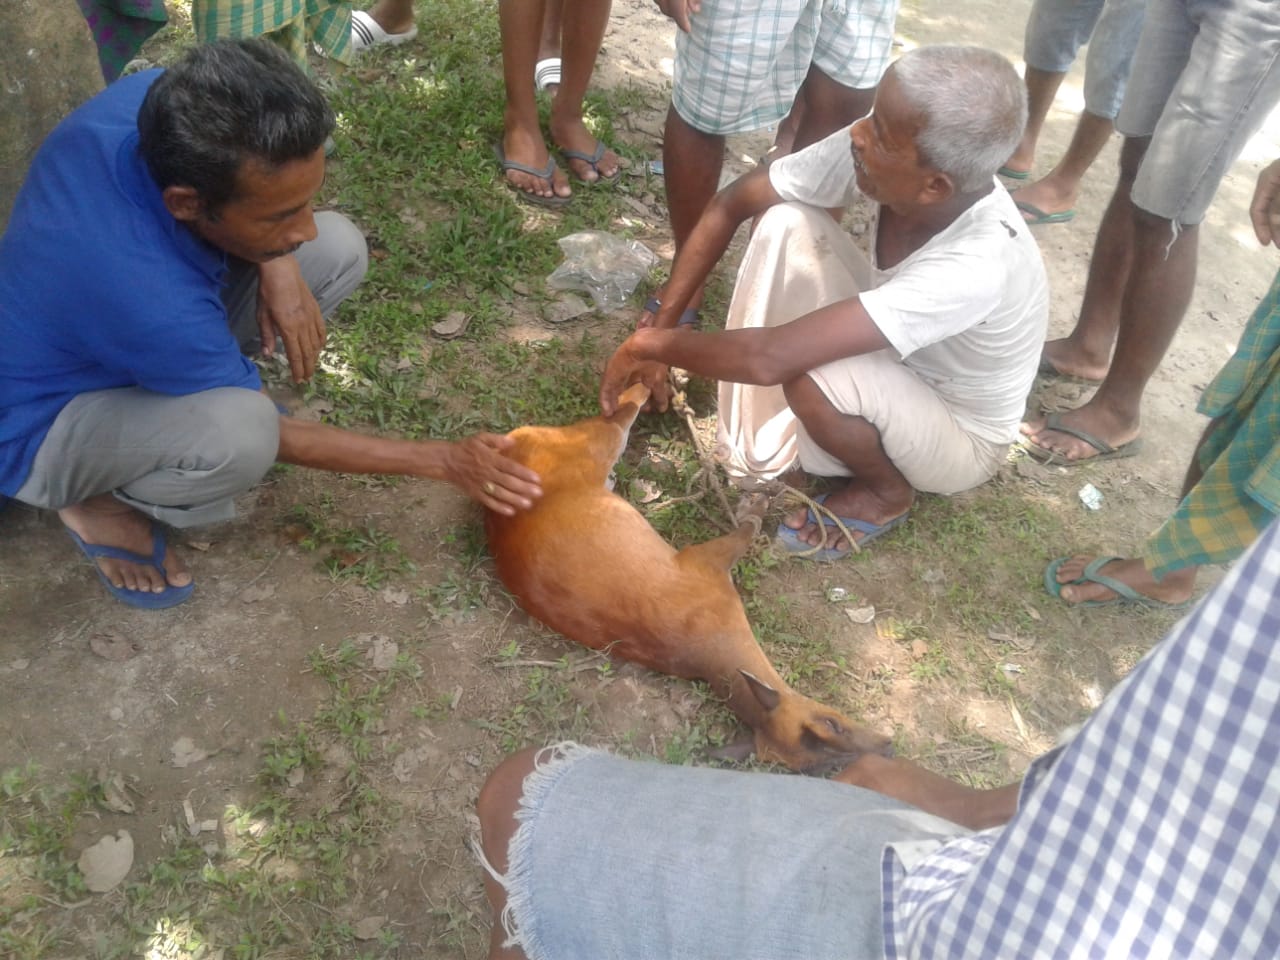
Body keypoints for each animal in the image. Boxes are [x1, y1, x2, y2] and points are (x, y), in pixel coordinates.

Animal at [483, 378, 896, 773]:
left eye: (828, 766)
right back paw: (644, 388)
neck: (703, 649)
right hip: (586, 445)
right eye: (831, 723)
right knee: (615, 419)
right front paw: (761, 500)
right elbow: (746, 529)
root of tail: (509, 448)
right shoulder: (703, 563)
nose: (888, 745)